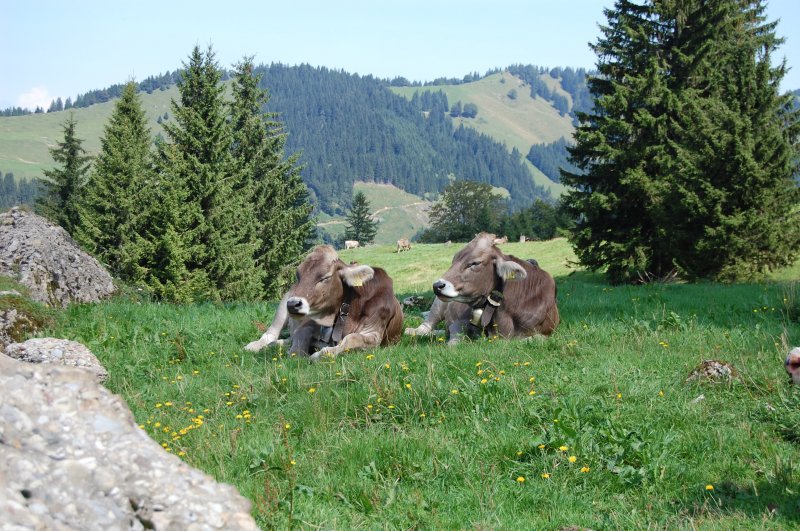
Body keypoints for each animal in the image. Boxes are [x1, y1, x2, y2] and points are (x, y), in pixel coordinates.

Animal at [242, 245, 404, 362]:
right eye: (298, 275)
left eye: (325, 277)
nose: (293, 304)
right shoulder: (307, 324)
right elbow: (298, 345)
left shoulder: (374, 333)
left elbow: (352, 339)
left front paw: (321, 354)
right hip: (283, 306)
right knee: (271, 334)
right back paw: (256, 345)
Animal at [404, 234, 560, 344]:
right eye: (454, 260)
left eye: (475, 263)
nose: (437, 285)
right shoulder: (457, 319)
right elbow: (455, 339)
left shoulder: (546, 331)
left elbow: (537, 339)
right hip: (439, 304)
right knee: (424, 328)